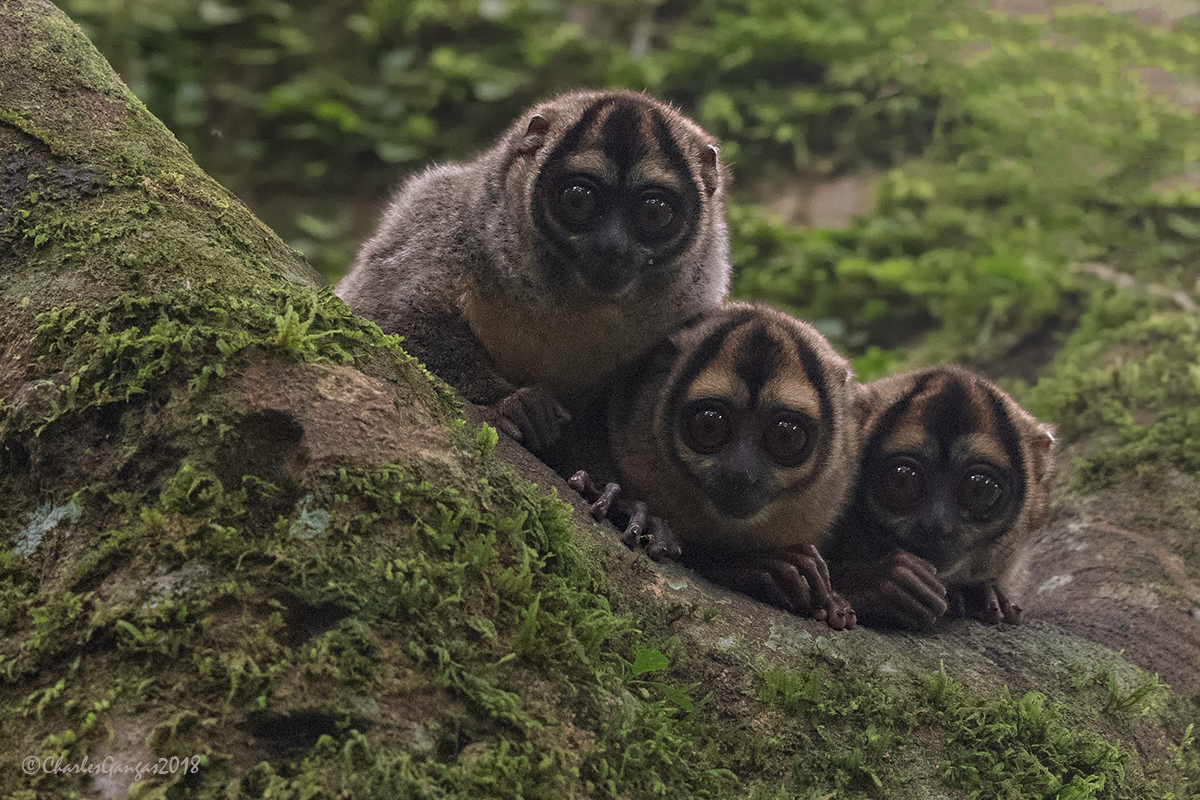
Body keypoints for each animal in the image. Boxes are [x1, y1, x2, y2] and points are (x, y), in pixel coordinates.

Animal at [336, 89, 730, 455]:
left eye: (654, 212)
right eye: (578, 199)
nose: (612, 247)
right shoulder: (450, 225)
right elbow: (384, 314)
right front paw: (515, 404)